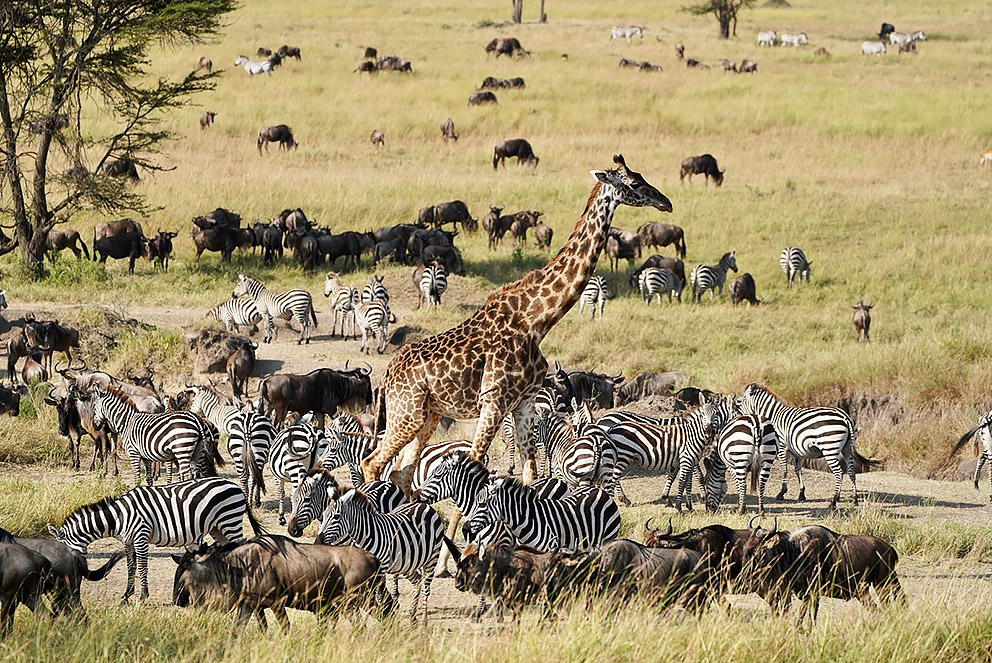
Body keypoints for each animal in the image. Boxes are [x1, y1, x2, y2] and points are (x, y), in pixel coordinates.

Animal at [54, 477, 260, 601]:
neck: (118, 517)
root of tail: (236, 486)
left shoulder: (141, 537)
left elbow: (142, 567)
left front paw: (143, 596)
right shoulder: (128, 542)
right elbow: (131, 567)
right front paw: (126, 595)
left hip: (230, 520)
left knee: (242, 548)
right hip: (218, 527)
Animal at [318, 488, 443, 622]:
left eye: (336, 516)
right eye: (323, 516)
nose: (318, 541)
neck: (365, 536)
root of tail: (423, 505)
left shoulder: (380, 569)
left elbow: (376, 593)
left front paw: (380, 615)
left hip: (432, 558)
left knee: (426, 588)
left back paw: (424, 621)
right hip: (406, 563)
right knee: (418, 581)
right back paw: (412, 617)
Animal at [362, 154, 673, 494]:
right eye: (634, 183)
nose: (665, 201)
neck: (537, 320)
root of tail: (387, 376)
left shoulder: (523, 401)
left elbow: (530, 473)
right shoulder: (494, 400)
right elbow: (474, 466)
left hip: (427, 415)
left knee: (400, 472)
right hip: (407, 413)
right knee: (372, 463)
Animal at [738, 382, 870, 511]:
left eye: (741, 400)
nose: (739, 417)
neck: (773, 416)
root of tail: (845, 417)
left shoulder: (781, 446)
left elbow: (785, 469)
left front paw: (782, 492)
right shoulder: (795, 450)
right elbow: (797, 470)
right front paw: (801, 494)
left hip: (829, 448)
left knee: (839, 472)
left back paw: (833, 502)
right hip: (847, 448)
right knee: (851, 471)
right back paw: (854, 499)